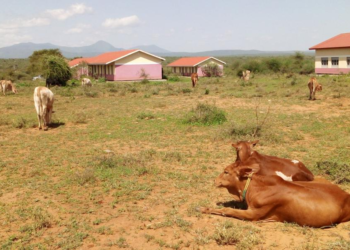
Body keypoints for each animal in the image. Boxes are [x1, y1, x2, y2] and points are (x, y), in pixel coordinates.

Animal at [198, 165, 350, 228]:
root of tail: (346, 195)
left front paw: (203, 208)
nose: (215, 180)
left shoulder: (254, 214)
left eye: (226, 172)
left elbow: (228, 210)